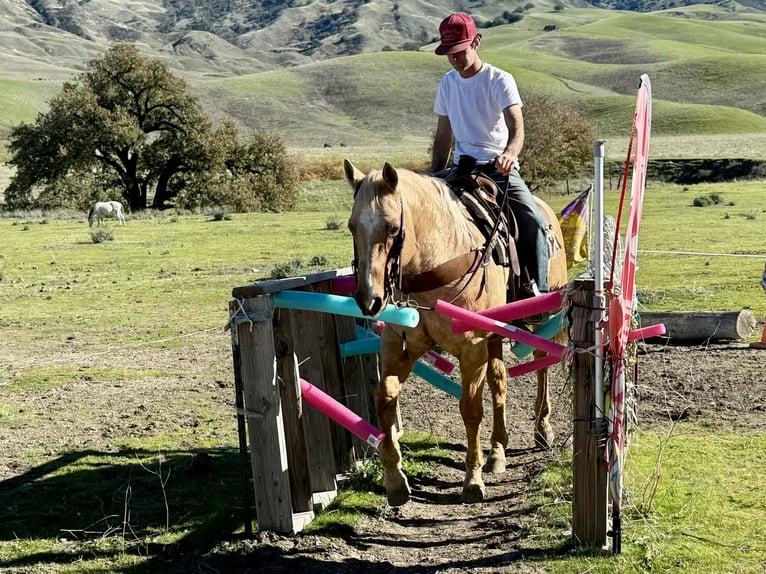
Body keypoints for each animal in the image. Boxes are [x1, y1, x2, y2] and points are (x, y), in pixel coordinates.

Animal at [344, 159, 568, 507]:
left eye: (393, 228)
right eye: (352, 227)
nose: (370, 300)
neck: (435, 259)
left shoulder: (471, 348)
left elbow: (470, 409)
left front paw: (472, 480)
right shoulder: (399, 345)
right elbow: (384, 396)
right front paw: (395, 480)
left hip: (540, 317)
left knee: (542, 362)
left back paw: (542, 428)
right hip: (494, 336)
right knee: (499, 380)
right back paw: (498, 450)